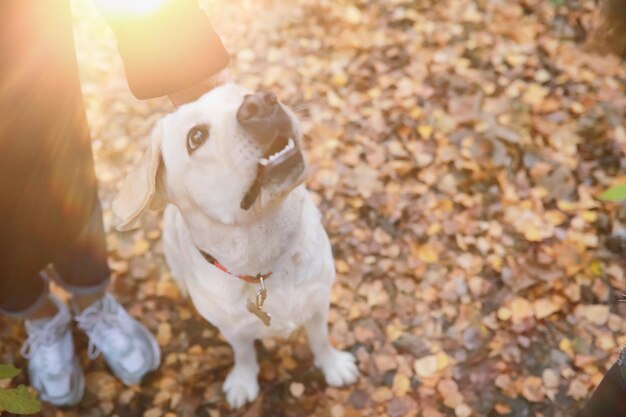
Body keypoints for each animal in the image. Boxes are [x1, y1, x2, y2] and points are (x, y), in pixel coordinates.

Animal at [111, 83, 356, 406]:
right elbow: (245, 353)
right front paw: (243, 380)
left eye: (244, 93)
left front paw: (332, 364)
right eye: (196, 137)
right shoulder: (233, 330)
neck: (265, 260)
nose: (262, 102)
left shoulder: (319, 302)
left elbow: (321, 339)